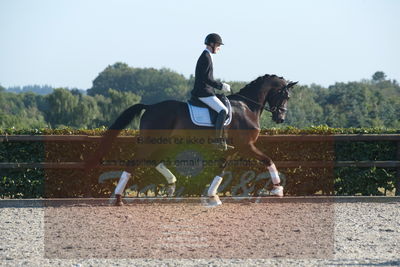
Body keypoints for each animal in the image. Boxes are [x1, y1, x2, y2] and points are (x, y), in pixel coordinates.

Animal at [85, 74, 296, 206]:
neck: (246, 107)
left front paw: (212, 196)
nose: (280, 118)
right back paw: (118, 199)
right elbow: (268, 160)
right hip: (150, 143)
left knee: (154, 161)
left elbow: (221, 170)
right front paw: (278, 190)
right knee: (133, 163)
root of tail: (151, 107)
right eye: (285, 95)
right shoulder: (247, 146)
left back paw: (171, 184)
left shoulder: (232, 149)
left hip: (164, 143)